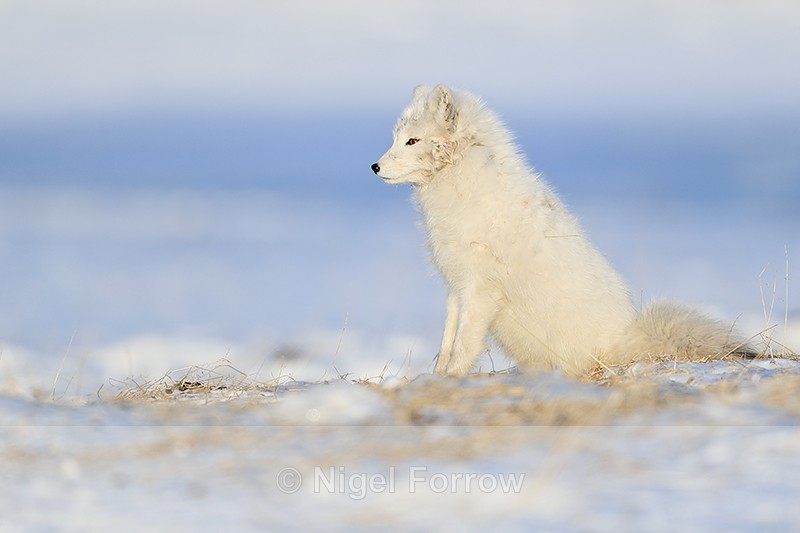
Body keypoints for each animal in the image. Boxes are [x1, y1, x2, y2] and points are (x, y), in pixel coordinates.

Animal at [372, 85, 753, 377]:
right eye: (395, 138)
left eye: (412, 141)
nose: (374, 166)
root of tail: (624, 339)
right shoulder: (456, 285)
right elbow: (447, 341)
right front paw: (436, 377)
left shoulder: (481, 290)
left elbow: (465, 346)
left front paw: (453, 377)